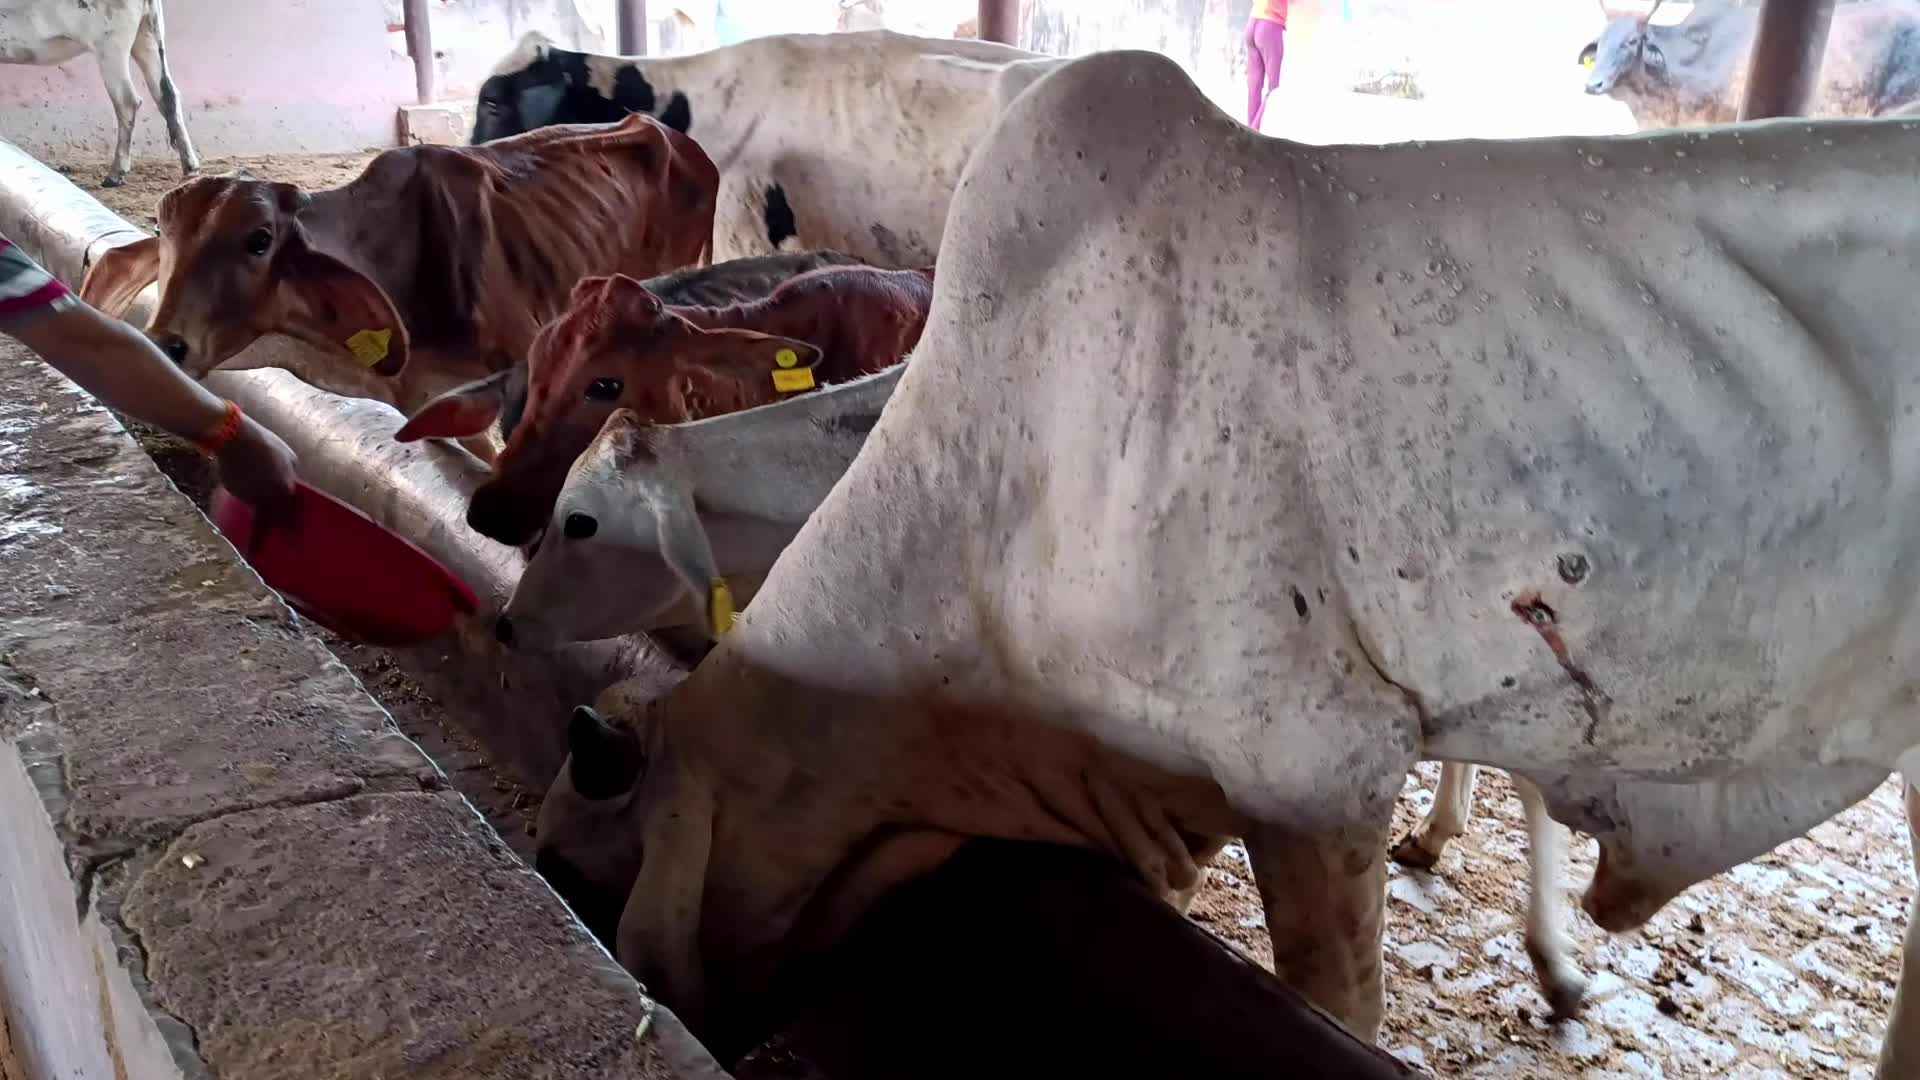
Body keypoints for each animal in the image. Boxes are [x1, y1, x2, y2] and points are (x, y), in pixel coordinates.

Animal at [0, 0, 198, 186]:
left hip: (111, 47)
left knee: (127, 101)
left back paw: (116, 174)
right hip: (149, 38)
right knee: (167, 96)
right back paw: (190, 167)